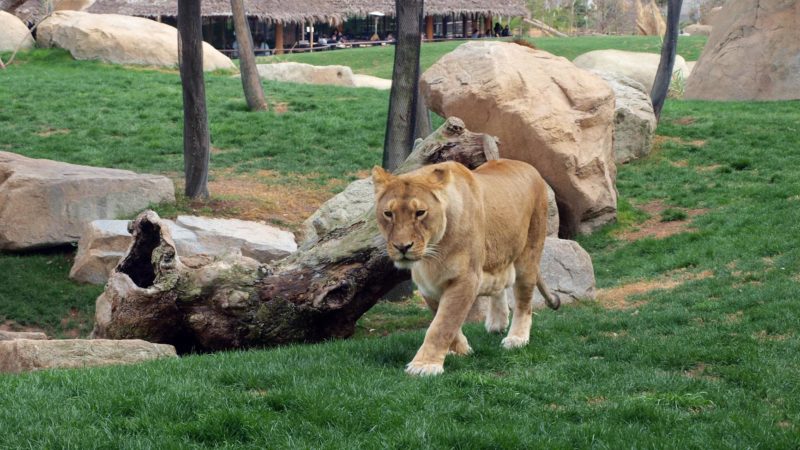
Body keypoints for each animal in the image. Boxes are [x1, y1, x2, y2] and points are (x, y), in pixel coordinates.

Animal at [372, 159, 560, 376]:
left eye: (420, 213)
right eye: (388, 213)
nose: (402, 247)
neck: (432, 253)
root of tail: (528, 166)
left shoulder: (466, 278)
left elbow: (443, 323)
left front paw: (425, 365)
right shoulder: (427, 284)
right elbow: (442, 317)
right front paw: (461, 350)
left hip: (529, 253)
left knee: (524, 301)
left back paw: (517, 338)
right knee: (500, 281)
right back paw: (497, 323)